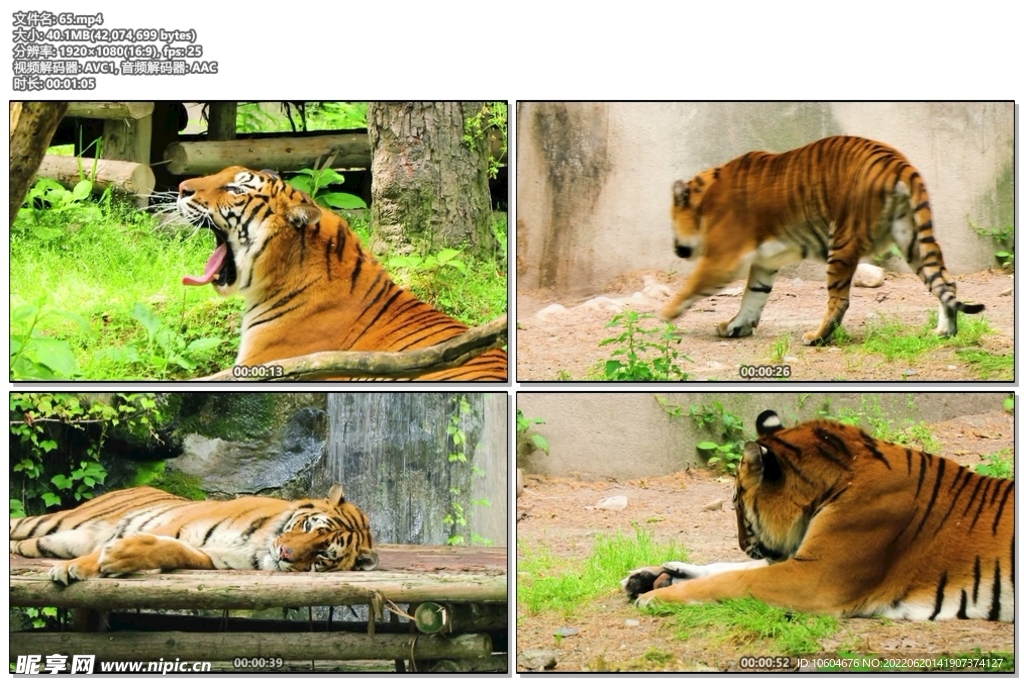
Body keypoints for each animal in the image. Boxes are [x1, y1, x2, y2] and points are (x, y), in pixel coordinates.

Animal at [10, 483, 377, 585]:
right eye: (307, 527)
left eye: (322, 555)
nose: (285, 554)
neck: (260, 547)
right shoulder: (175, 525)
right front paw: (82, 567)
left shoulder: (210, 557)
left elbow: (171, 551)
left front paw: (120, 558)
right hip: (51, 524)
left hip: (48, 542)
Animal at [622, 410, 1014, 621]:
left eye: (736, 504)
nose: (742, 543)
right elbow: (727, 567)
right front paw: (651, 576)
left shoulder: (816, 577)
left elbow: (736, 578)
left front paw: (655, 596)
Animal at [663, 135, 985, 346]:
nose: (677, 250)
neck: (705, 199)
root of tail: (897, 161)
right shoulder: (765, 262)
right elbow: (753, 296)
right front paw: (736, 326)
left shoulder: (723, 257)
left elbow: (693, 285)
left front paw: (665, 314)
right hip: (912, 241)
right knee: (946, 283)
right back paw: (944, 333)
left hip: (841, 242)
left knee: (839, 301)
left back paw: (815, 337)